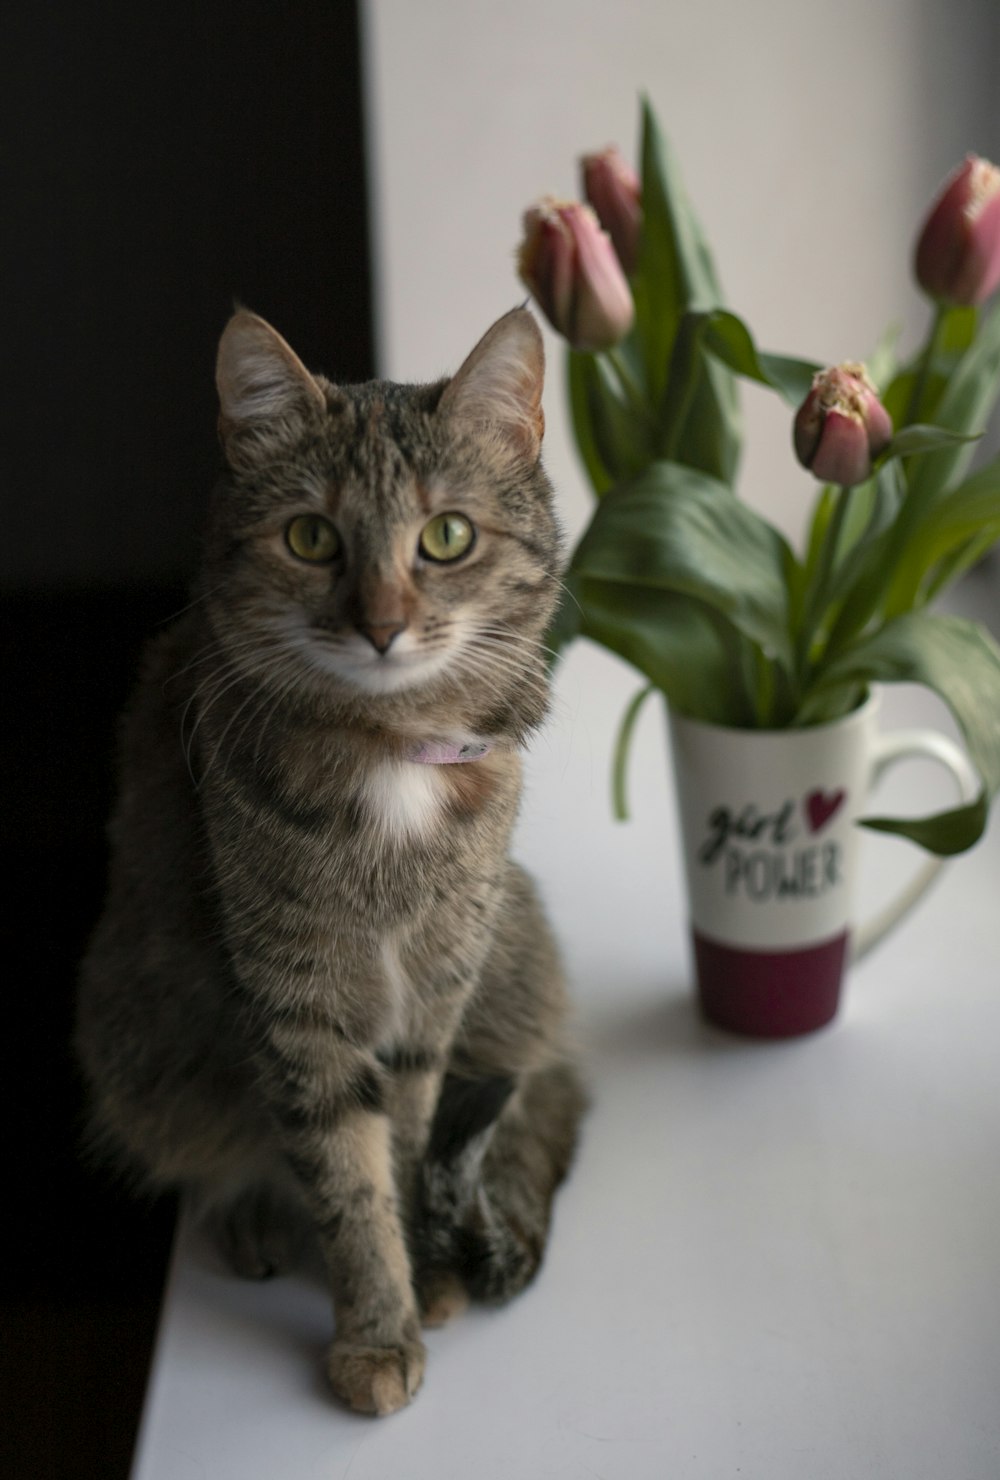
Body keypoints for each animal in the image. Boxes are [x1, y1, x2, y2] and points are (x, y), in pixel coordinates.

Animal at [76, 306, 585, 1414]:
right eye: (311, 537)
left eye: (446, 537)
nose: (383, 624)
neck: (390, 751)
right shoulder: (296, 1006)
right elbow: (345, 1177)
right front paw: (378, 1328)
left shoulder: (434, 994)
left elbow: (401, 1144)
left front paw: (419, 1278)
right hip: (137, 1037)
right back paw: (250, 1215)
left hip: (517, 943)